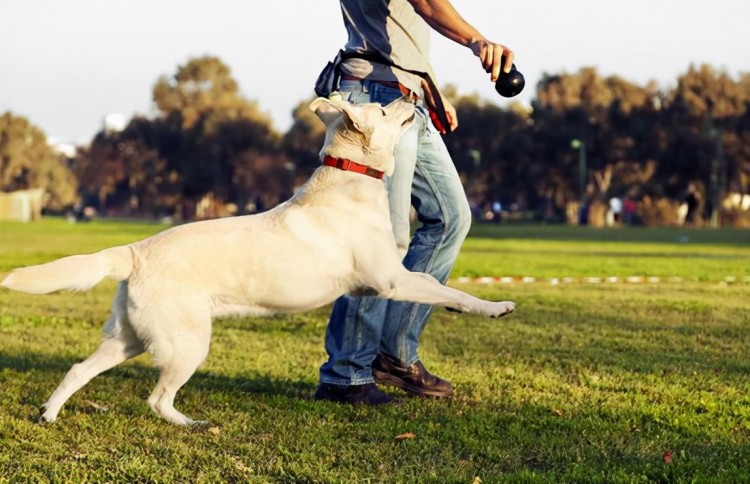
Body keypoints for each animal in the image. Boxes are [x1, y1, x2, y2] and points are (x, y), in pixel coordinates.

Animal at [0, 97, 516, 424]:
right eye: (385, 109)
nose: (412, 96)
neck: (350, 177)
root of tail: (135, 251)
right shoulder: (392, 280)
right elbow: (447, 289)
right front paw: (495, 307)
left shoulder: (384, 283)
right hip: (187, 343)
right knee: (157, 398)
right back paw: (191, 424)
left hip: (128, 339)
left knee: (78, 369)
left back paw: (49, 414)